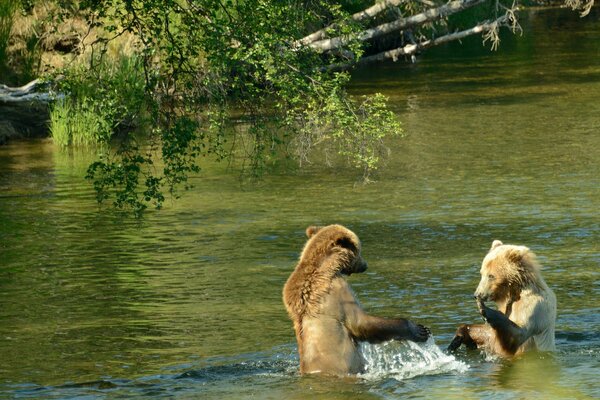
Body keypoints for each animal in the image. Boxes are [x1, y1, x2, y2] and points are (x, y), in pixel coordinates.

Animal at [282, 225, 428, 376]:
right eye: (359, 250)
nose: (365, 265)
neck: (330, 266)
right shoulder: (338, 291)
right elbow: (359, 322)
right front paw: (420, 330)